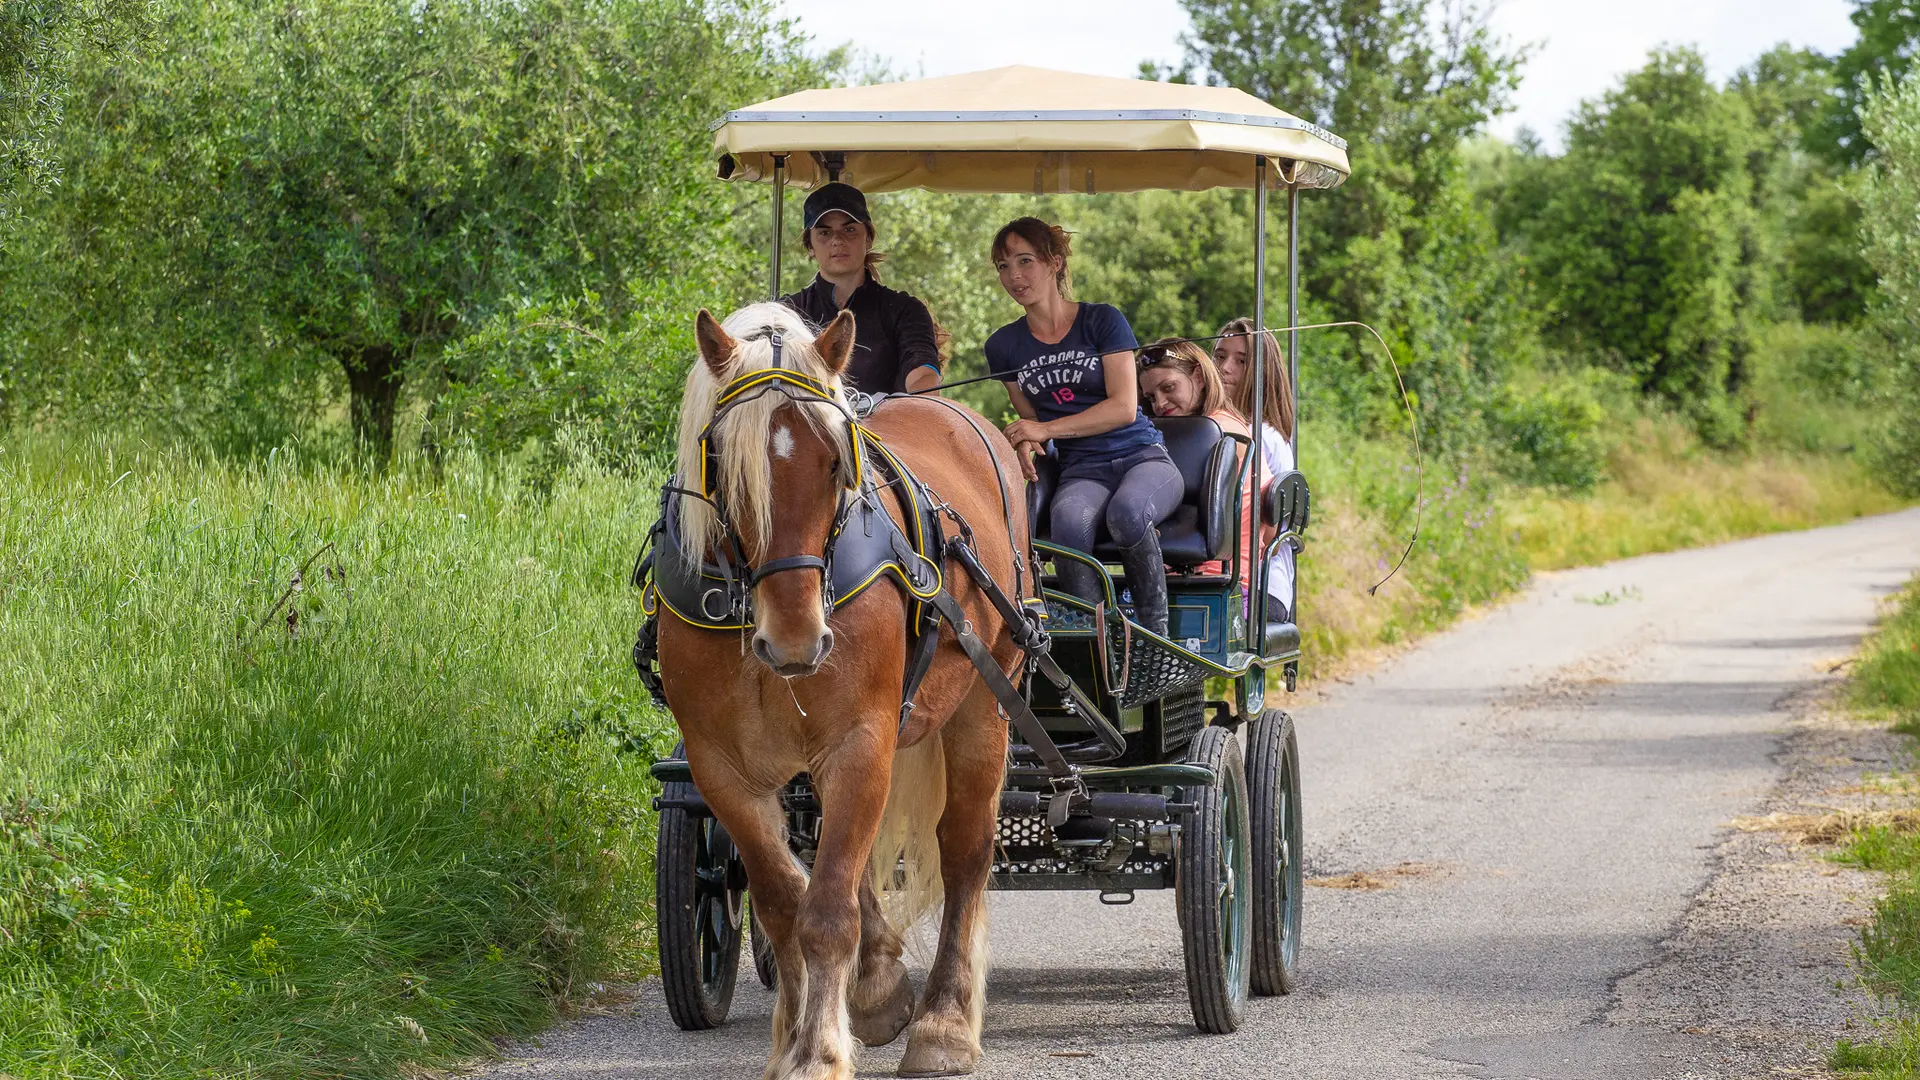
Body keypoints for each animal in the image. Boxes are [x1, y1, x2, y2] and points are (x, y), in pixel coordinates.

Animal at [652, 299, 1029, 1076]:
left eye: (834, 462)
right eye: (724, 466)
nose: (797, 639)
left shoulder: (860, 741)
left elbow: (826, 911)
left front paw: (819, 1050)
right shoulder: (718, 765)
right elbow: (783, 900)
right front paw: (802, 1029)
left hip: (985, 699)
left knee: (966, 850)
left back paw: (946, 1022)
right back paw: (881, 984)